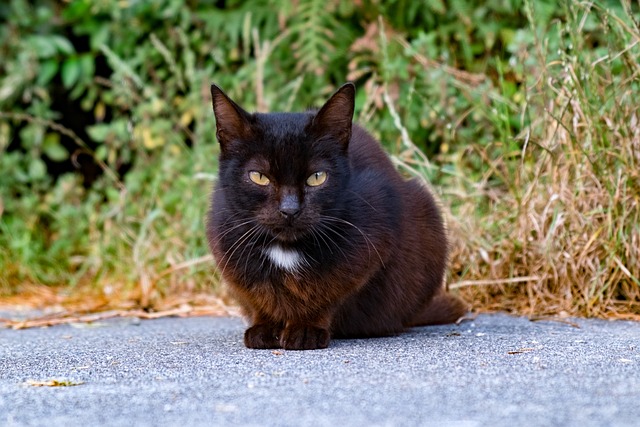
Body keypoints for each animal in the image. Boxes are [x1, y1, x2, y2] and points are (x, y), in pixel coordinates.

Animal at [208, 83, 468, 352]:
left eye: (317, 177)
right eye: (259, 177)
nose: (290, 210)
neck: (286, 249)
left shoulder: (370, 245)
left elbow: (328, 293)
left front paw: (306, 328)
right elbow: (260, 295)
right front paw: (266, 327)